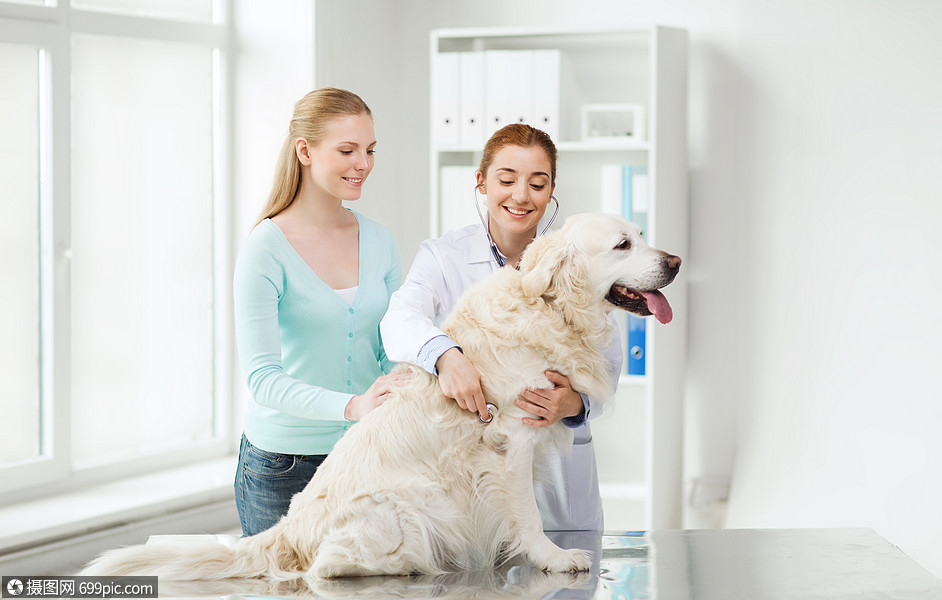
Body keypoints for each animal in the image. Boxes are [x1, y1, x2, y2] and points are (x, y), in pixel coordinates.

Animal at [83, 211, 680, 580]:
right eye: (623, 244)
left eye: (640, 233)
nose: (674, 262)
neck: (550, 308)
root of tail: (286, 532)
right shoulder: (507, 446)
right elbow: (527, 517)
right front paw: (554, 558)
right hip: (406, 504)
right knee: (327, 567)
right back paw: (417, 562)